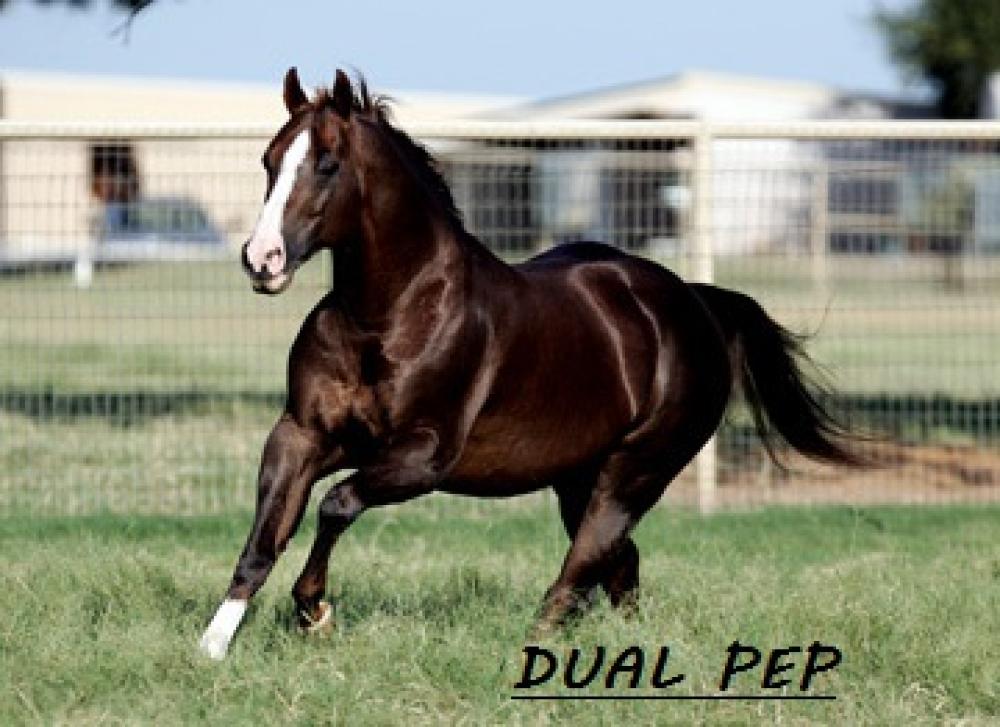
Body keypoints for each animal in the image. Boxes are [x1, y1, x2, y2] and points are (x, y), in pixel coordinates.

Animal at [199, 68, 860, 659]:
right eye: (268, 160)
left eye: (328, 163)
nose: (262, 259)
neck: (388, 316)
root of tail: (694, 303)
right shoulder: (302, 435)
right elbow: (264, 538)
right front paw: (213, 647)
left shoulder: (424, 457)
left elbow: (336, 504)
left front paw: (315, 611)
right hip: (578, 478)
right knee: (618, 566)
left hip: (635, 473)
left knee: (583, 565)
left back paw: (535, 651)